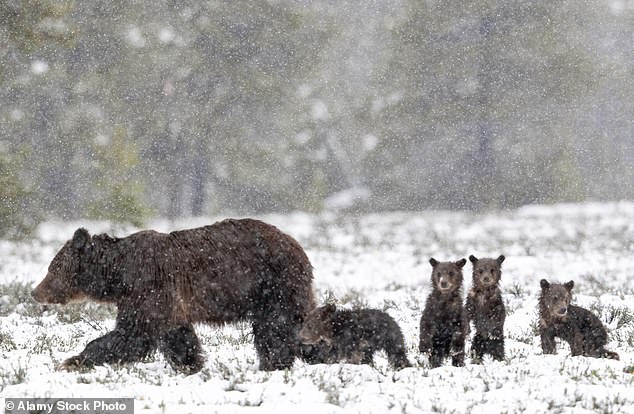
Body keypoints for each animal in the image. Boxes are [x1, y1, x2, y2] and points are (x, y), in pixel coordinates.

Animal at [30, 220, 314, 376]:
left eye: (52, 268)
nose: (35, 292)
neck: (118, 274)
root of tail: (297, 244)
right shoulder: (163, 301)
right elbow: (176, 335)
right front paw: (191, 363)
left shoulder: (149, 286)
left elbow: (132, 334)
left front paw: (71, 360)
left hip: (274, 284)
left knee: (276, 326)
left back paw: (275, 362)